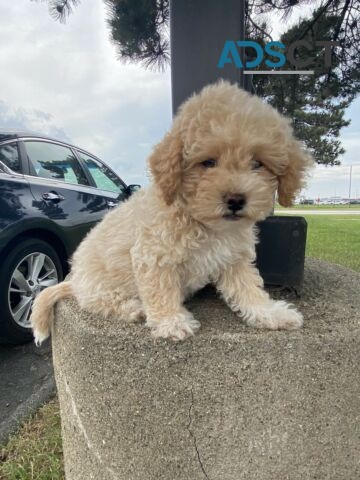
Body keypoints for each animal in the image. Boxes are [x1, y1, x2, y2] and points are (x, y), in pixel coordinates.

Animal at [30, 82, 312, 344]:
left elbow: (248, 287)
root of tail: (75, 281)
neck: (204, 222)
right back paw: (133, 308)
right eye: (208, 162)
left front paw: (271, 313)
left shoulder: (234, 257)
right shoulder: (153, 254)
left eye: (257, 163)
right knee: (101, 302)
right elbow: (160, 289)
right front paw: (171, 321)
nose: (235, 199)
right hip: (98, 287)